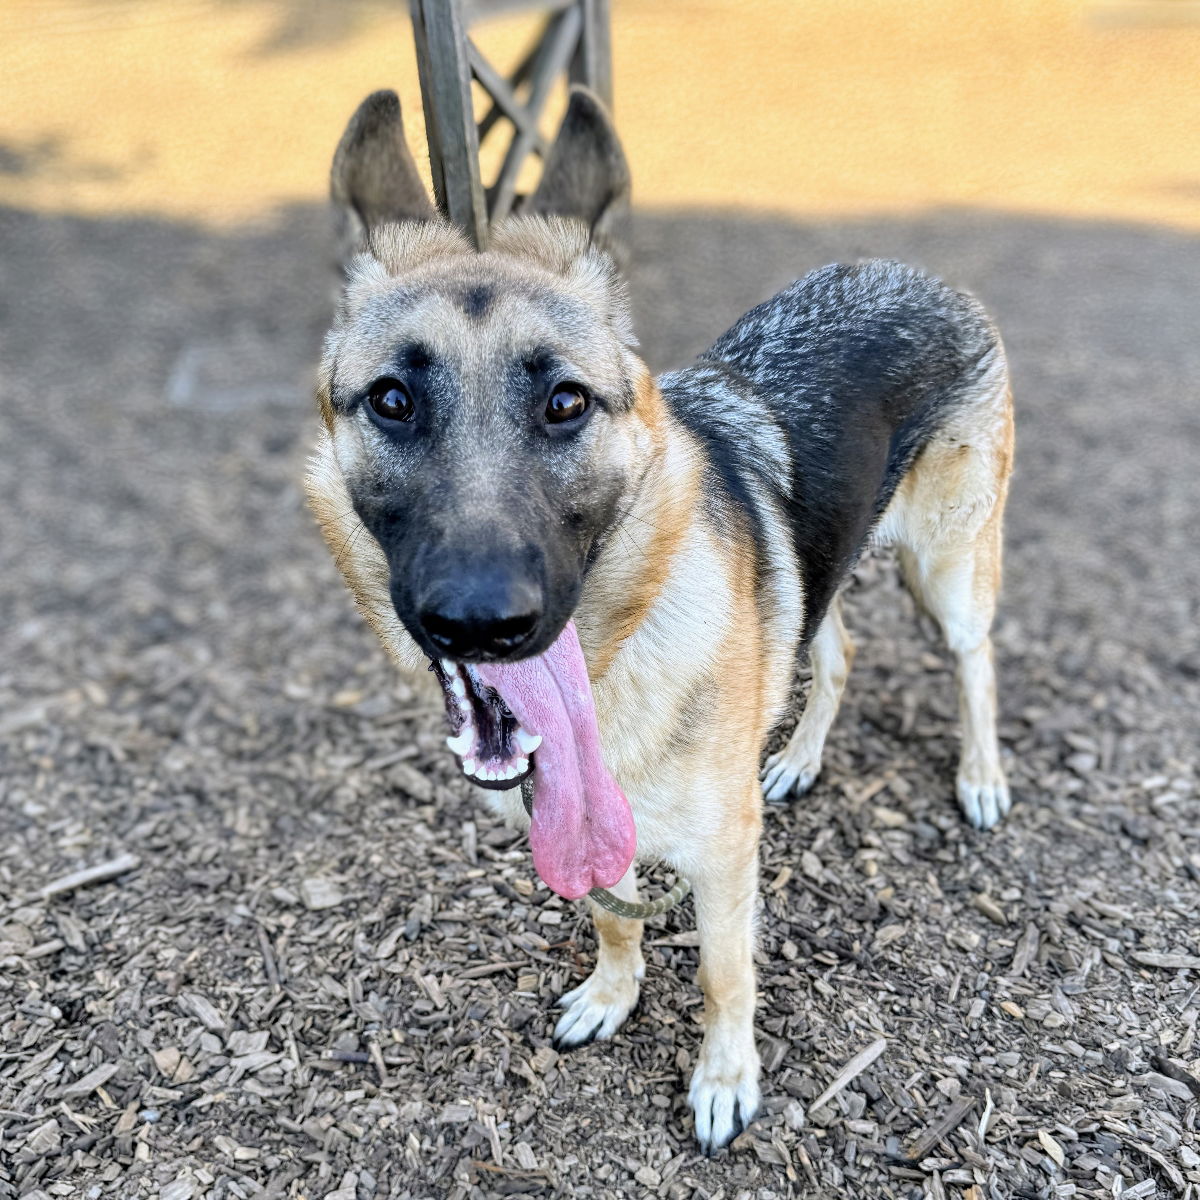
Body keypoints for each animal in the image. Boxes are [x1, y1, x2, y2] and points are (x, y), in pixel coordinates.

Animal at [307, 87, 1012, 1152]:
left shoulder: (725, 854)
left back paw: (979, 776)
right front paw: (613, 993)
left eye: (566, 403)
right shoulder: (595, 832)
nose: (482, 623)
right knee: (836, 652)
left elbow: (725, 972)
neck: (615, 657)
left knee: (975, 665)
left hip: (946, 574)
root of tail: (918, 274)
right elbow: (612, 913)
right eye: (391, 399)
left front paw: (724, 1079)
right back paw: (799, 756)